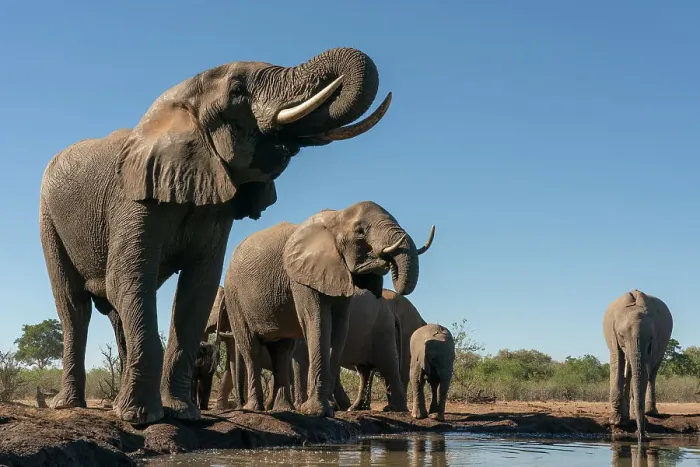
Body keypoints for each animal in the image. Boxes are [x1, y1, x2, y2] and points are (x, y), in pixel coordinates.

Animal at [38, 46, 392, 424]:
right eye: (237, 91)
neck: (180, 100)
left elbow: (199, 289)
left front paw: (182, 413)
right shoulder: (132, 197)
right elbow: (128, 278)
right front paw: (141, 418)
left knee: (117, 313)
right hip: (48, 219)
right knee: (74, 307)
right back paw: (70, 405)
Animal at [222, 200, 434, 417]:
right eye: (360, 231)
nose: (386, 262)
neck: (336, 217)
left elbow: (338, 328)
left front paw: (319, 409)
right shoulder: (299, 277)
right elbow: (318, 323)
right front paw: (315, 410)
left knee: (283, 350)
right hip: (234, 295)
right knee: (252, 348)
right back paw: (256, 409)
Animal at [603, 289, 673, 441]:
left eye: (651, 339)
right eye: (622, 336)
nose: (641, 435)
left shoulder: (655, 343)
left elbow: (645, 370)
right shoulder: (613, 335)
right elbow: (617, 361)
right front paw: (617, 422)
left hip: (664, 344)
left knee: (652, 373)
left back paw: (650, 412)